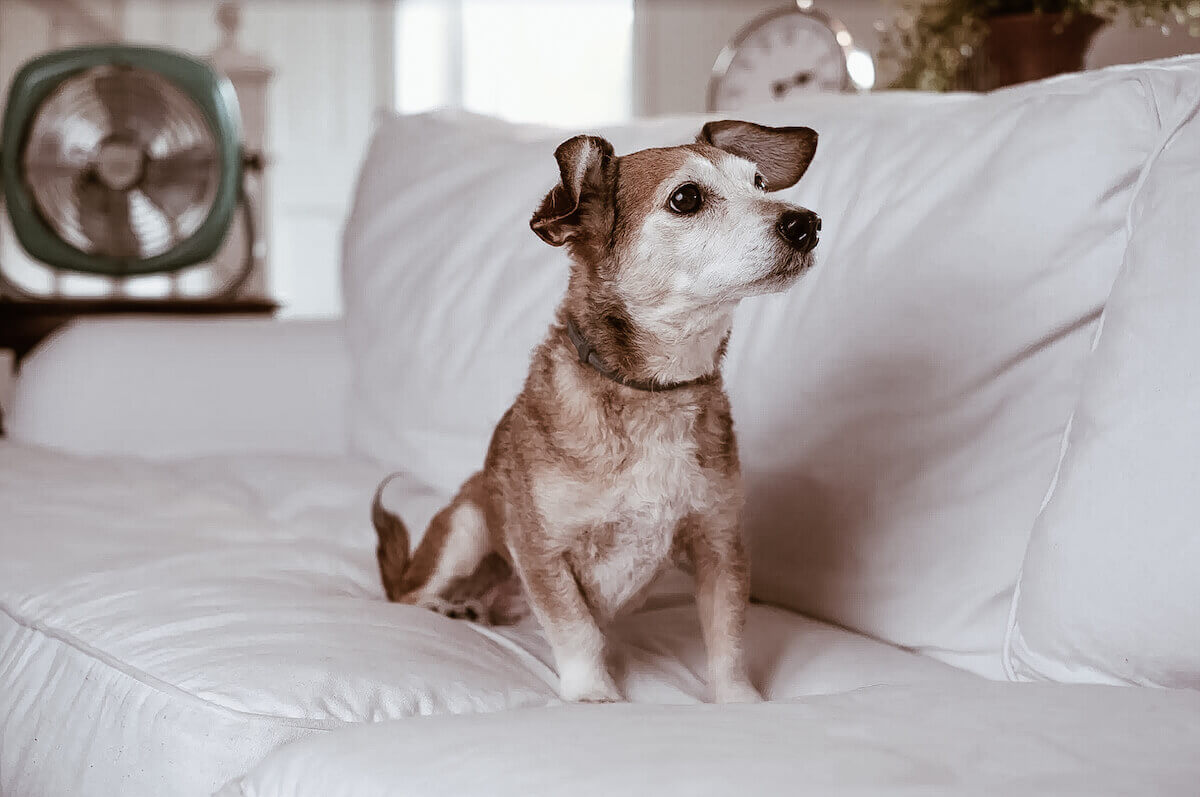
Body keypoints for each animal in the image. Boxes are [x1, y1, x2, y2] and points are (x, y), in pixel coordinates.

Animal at [374, 120, 820, 705]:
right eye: (686, 198)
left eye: (761, 183)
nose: (807, 223)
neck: (654, 391)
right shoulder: (541, 548)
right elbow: (576, 628)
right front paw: (594, 694)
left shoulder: (719, 543)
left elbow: (728, 635)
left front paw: (737, 699)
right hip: (466, 528)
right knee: (406, 596)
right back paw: (448, 607)